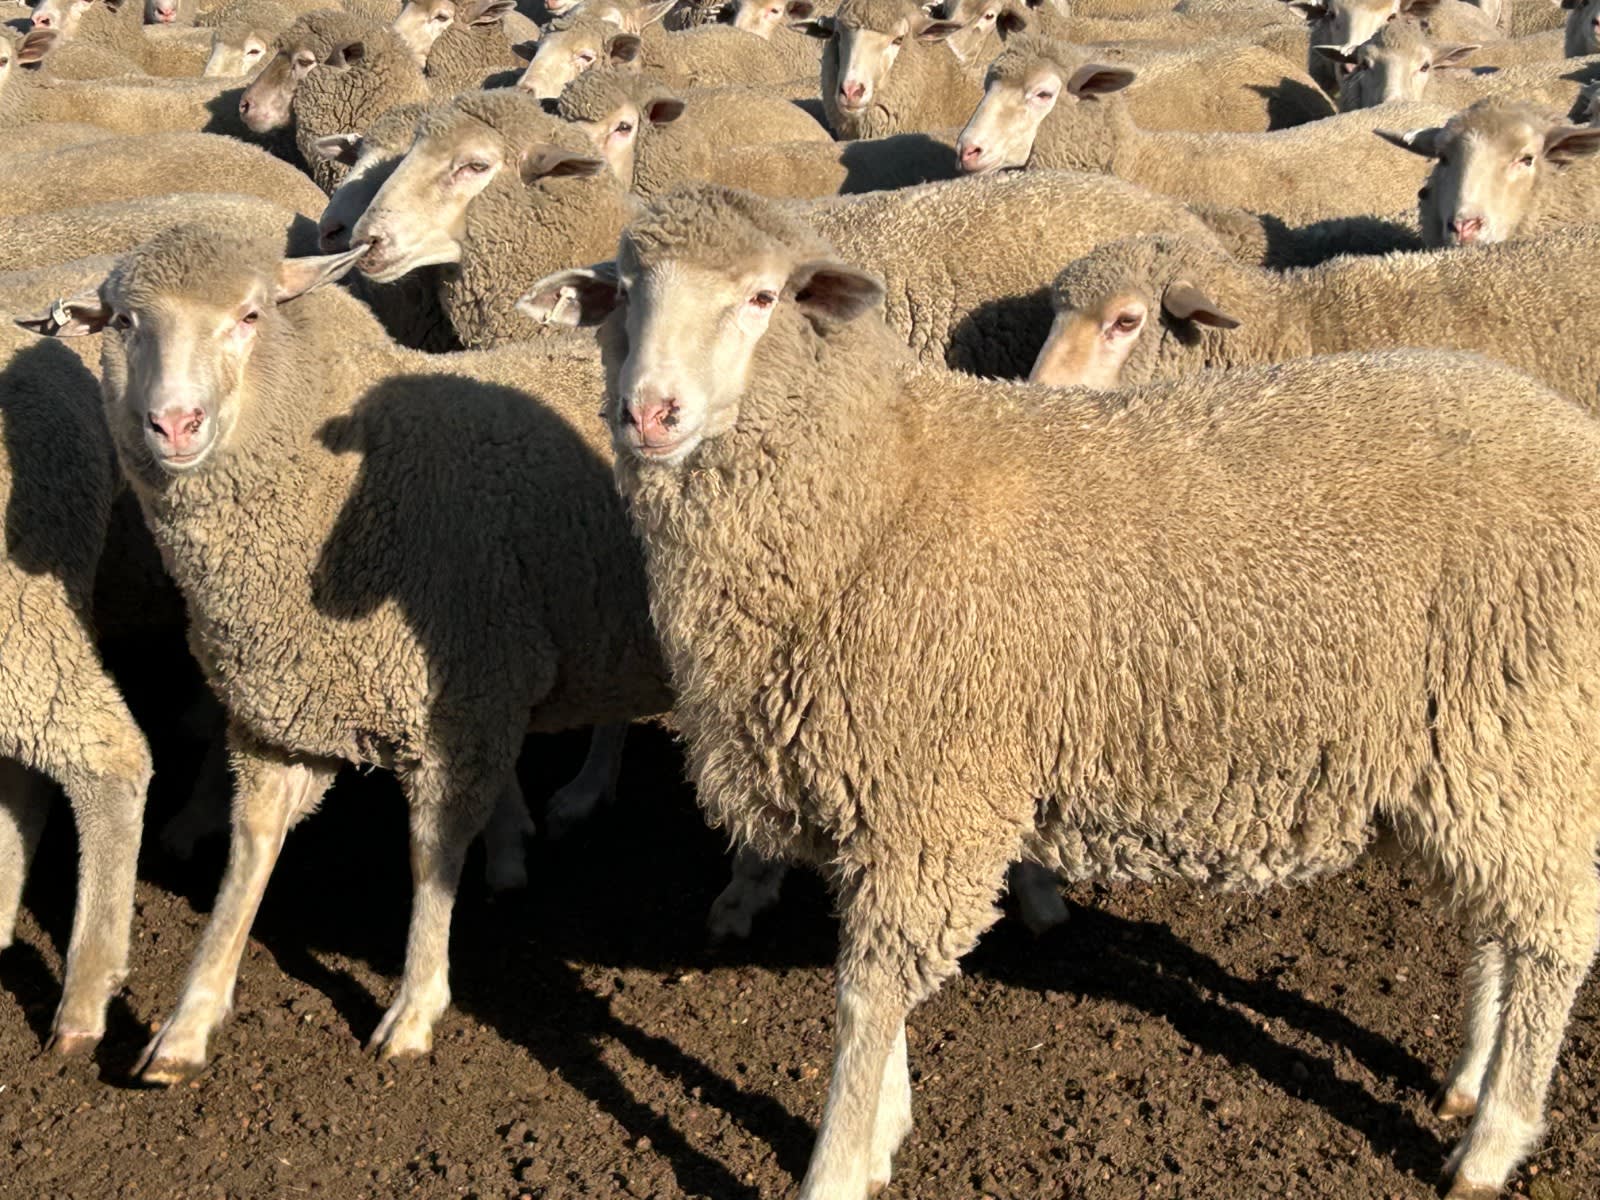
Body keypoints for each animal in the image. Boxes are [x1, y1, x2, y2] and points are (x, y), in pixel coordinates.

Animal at [17, 223, 671, 1082]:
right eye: (125, 322)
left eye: (251, 315)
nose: (175, 425)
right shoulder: (279, 711)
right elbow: (249, 854)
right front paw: (189, 1021)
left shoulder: (454, 713)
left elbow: (430, 858)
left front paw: (415, 1007)